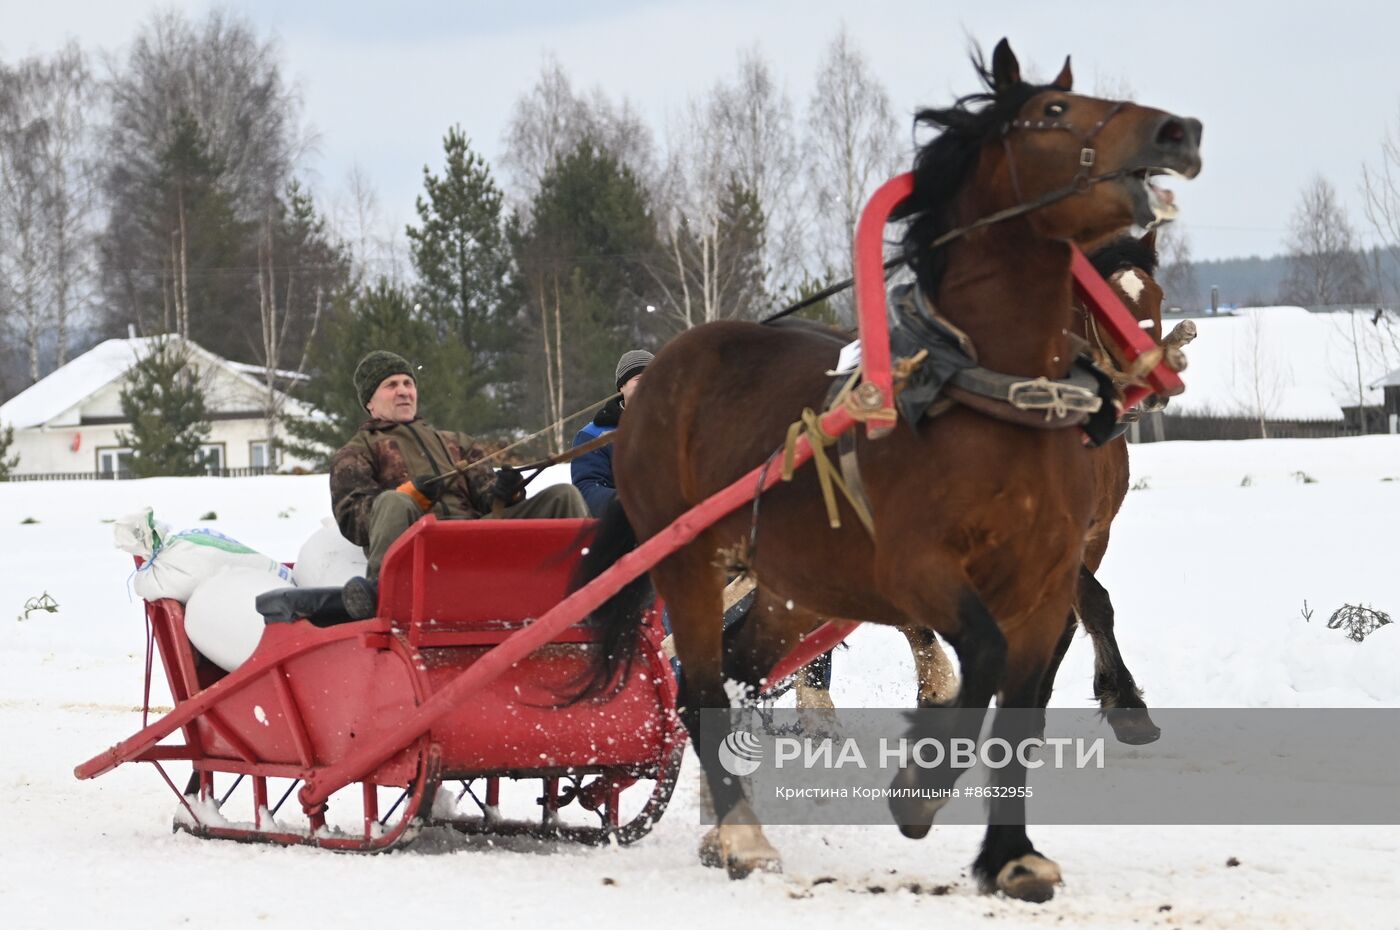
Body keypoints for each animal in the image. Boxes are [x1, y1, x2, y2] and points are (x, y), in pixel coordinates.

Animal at [574, 38, 1198, 901]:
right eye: (1052, 112)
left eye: (1153, 290)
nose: (1177, 132)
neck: (993, 401)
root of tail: (665, 371)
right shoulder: (917, 568)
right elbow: (985, 656)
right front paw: (921, 786)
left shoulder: (1053, 570)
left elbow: (1033, 689)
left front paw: (1011, 853)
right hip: (689, 560)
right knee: (699, 688)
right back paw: (742, 836)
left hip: (792, 587)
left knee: (737, 672)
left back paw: (722, 819)